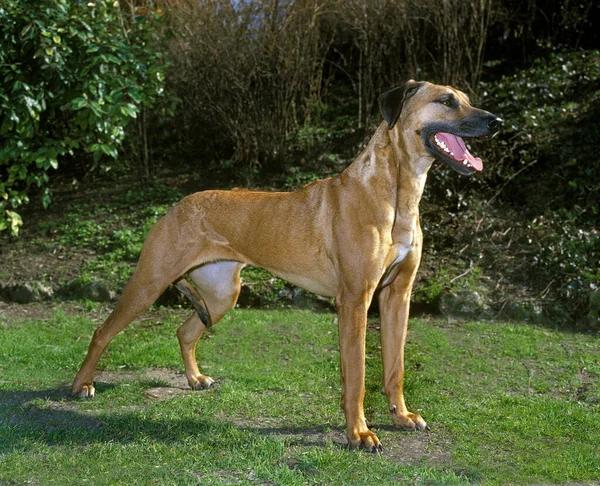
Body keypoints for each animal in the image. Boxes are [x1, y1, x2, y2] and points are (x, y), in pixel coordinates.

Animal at [71, 80, 502, 452]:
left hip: (223, 294)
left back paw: (194, 378)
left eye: (465, 97)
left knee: (185, 331)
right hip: (149, 283)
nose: (496, 121)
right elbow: (356, 378)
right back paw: (82, 385)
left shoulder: (398, 295)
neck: (396, 191)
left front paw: (400, 416)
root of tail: (178, 205)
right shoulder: (355, 301)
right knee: (102, 332)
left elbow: (394, 368)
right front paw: (359, 433)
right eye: (447, 100)